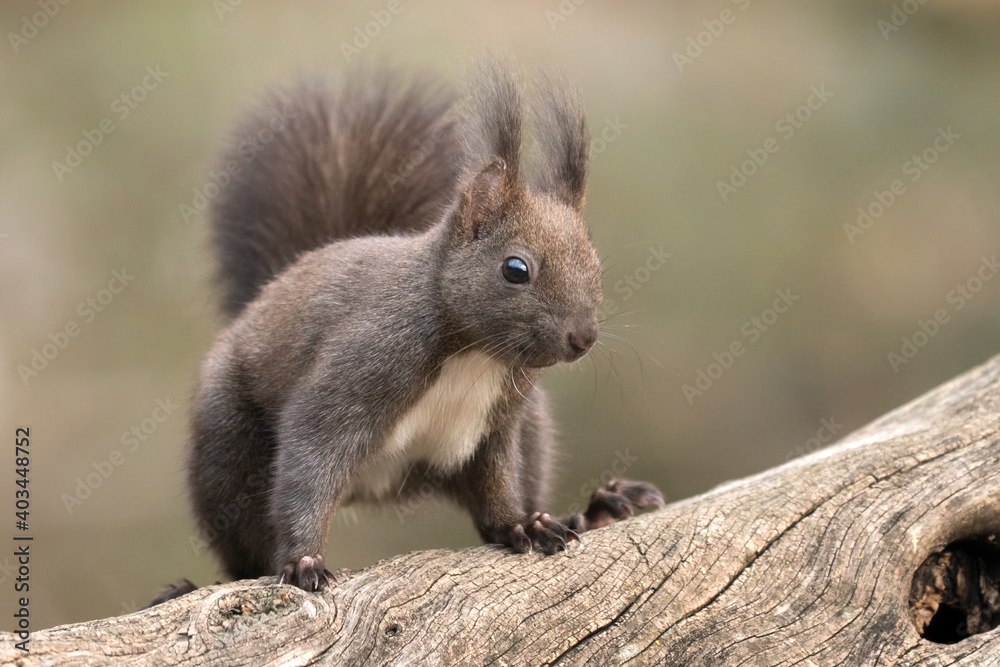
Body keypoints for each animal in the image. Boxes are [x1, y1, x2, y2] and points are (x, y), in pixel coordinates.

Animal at [161, 59, 664, 600]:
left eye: (596, 266)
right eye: (515, 269)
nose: (582, 339)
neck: (472, 350)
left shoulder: (503, 420)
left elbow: (497, 481)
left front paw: (522, 524)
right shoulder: (363, 363)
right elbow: (311, 458)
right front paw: (304, 561)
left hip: (534, 430)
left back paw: (591, 511)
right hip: (228, 449)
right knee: (245, 551)